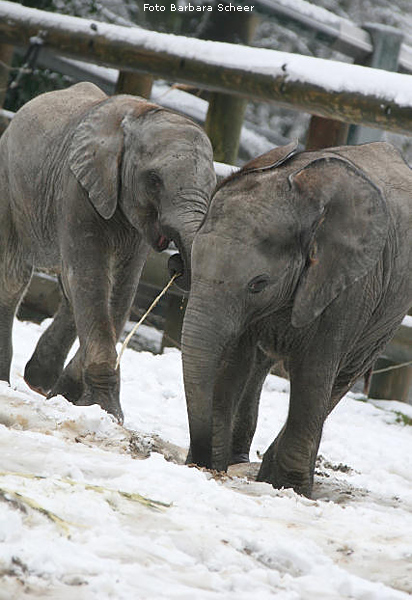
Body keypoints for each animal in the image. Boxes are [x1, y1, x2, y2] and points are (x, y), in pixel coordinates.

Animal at [0, 82, 217, 424]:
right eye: (153, 180)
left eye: (214, 184)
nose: (176, 262)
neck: (143, 113)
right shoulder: (78, 188)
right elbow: (92, 279)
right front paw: (105, 411)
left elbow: (119, 292)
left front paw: (69, 396)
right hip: (9, 183)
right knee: (14, 278)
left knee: (68, 292)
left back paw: (40, 382)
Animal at [181, 138, 412, 494]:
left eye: (258, 284)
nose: (199, 461)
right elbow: (234, 362)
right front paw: (212, 465)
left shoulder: (347, 287)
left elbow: (314, 373)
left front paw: (292, 489)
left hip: (386, 317)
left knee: (339, 380)